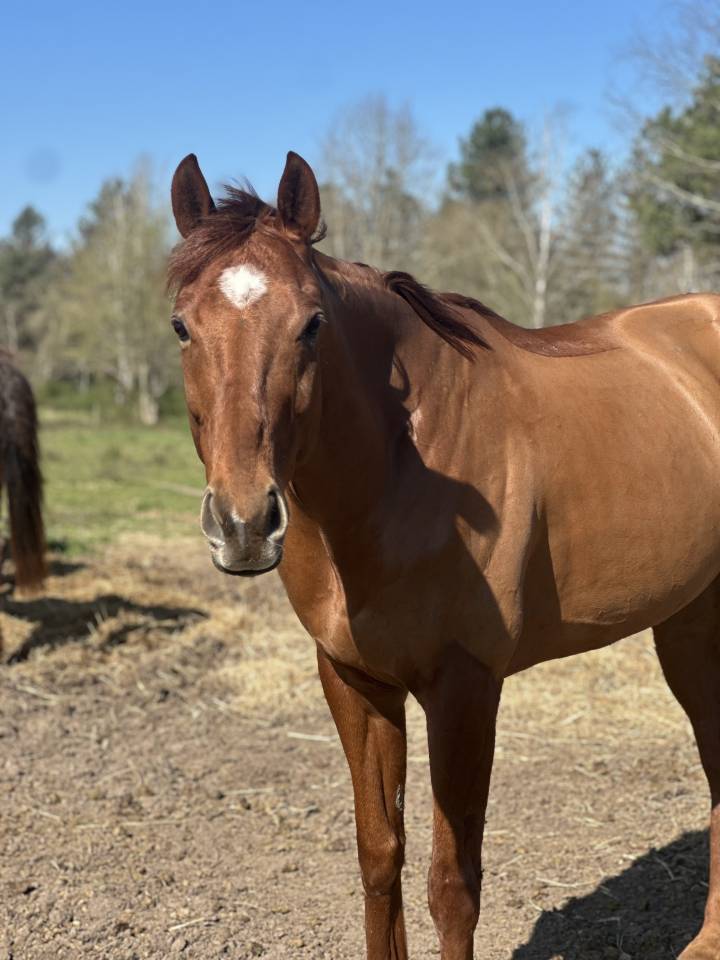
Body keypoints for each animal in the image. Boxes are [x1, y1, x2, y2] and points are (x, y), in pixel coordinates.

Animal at [168, 151, 720, 960]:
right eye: (181, 325)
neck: (402, 472)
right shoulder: (355, 681)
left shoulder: (465, 688)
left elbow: (453, 887)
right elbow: (378, 856)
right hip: (688, 622)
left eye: (312, 323)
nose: (243, 523)